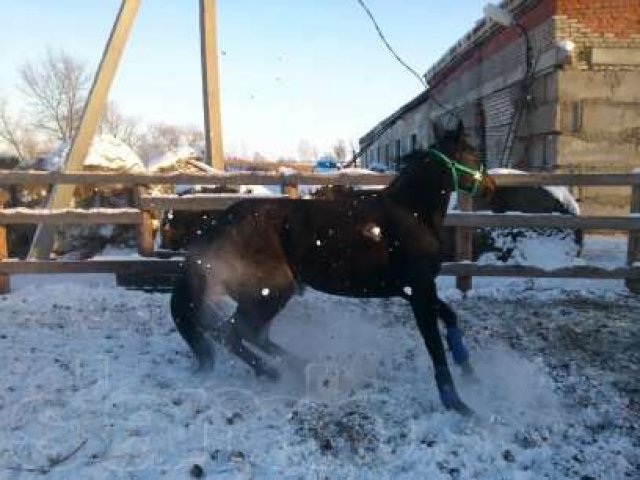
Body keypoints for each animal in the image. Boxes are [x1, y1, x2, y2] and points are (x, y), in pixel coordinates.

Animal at [170, 122, 496, 414]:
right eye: (472, 151)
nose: (490, 186)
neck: (411, 214)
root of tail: (217, 227)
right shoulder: (418, 290)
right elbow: (435, 347)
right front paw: (459, 404)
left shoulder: (414, 289)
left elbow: (450, 316)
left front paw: (469, 372)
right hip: (269, 292)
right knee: (236, 332)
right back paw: (276, 373)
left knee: (247, 334)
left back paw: (303, 367)